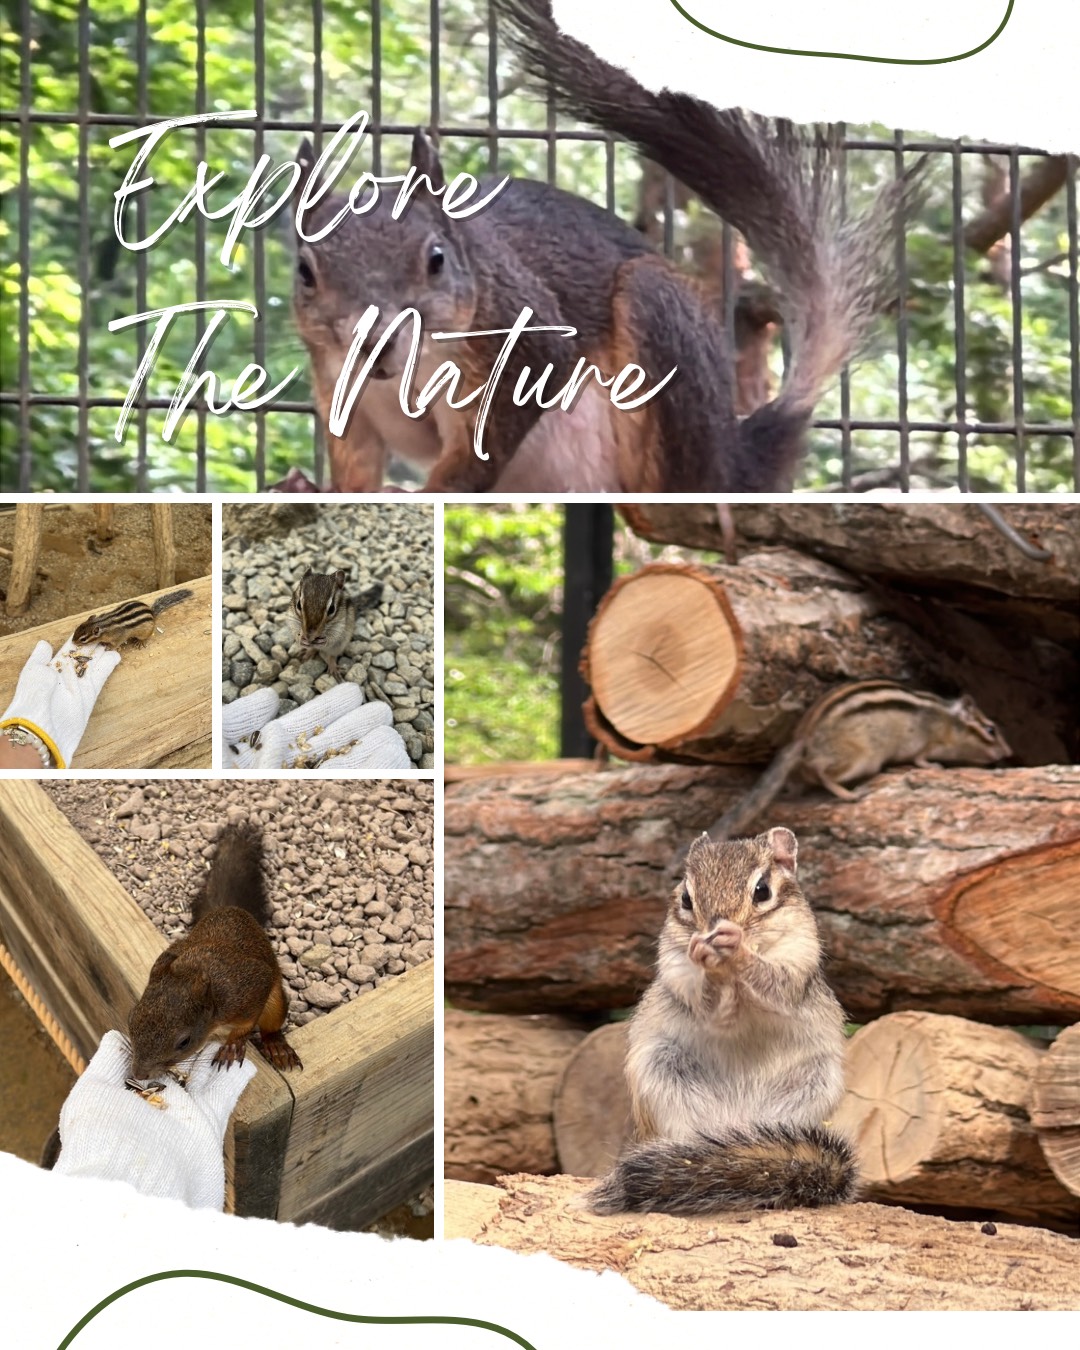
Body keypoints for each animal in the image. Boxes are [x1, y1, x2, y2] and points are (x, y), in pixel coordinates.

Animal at [127, 820, 302, 1081]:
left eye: (184, 1042)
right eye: (131, 1018)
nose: (139, 1074)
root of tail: (230, 908)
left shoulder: (249, 988)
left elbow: (246, 1025)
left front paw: (232, 1045)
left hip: (275, 1001)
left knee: (272, 1023)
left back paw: (277, 1046)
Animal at [287, 2, 925, 493]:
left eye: (436, 260)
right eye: (305, 273)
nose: (373, 343)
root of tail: (732, 466)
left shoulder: (523, 341)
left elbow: (484, 446)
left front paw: (435, 493)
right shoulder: (338, 387)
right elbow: (355, 465)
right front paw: (311, 488)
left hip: (658, 321)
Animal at [586, 827, 857, 1214]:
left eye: (763, 891)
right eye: (686, 898)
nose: (715, 928)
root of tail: (734, 1129)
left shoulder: (797, 963)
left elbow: (774, 985)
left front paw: (737, 947)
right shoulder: (680, 973)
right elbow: (711, 1008)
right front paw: (709, 959)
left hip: (812, 1085)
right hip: (663, 1073)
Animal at [705, 680, 1012, 843]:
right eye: (991, 730)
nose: (1008, 754)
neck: (949, 721)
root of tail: (804, 737)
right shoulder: (924, 741)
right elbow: (920, 757)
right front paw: (933, 766)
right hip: (861, 759)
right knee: (822, 772)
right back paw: (850, 794)